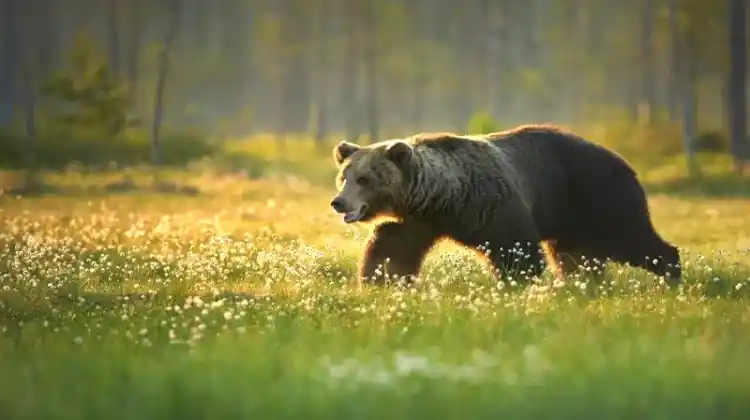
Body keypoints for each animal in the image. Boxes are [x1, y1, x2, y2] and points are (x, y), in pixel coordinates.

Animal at [329, 124, 682, 287]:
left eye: (365, 179)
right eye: (344, 177)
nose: (338, 202)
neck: (443, 198)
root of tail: (623, 160)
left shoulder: (491, 206)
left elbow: (515, 249)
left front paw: (515, 283)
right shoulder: (417, 221)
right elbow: (392, 248)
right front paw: (380, 279)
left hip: (598, 196)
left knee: (631, 237)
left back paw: (670, 274)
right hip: (570, 219)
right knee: (574, 256)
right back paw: (580, 282)